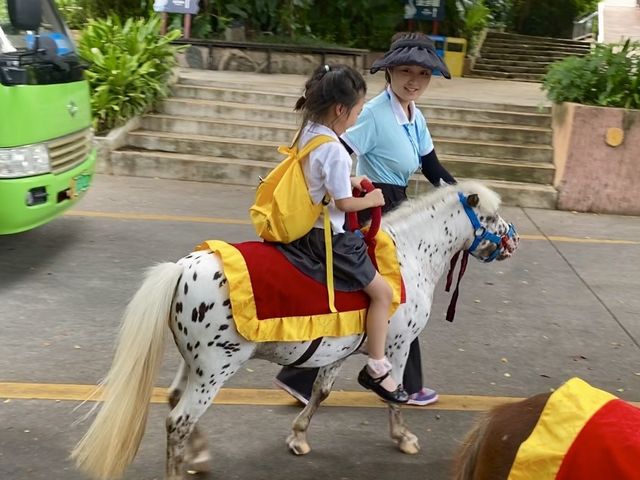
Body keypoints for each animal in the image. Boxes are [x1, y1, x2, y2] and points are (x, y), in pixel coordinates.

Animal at [71, 181, 520, 480]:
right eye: (491, 217)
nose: (511, 243)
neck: (409, 255)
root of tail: (181, 269)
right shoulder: (396, 345)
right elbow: (393, 395)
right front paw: (403, 437)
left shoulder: (339, 351)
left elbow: (321, 392)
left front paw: (299, 438)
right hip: (215, 370)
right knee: (179, 419)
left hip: (194, 364)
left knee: (175, 401)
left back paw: (197, 457)